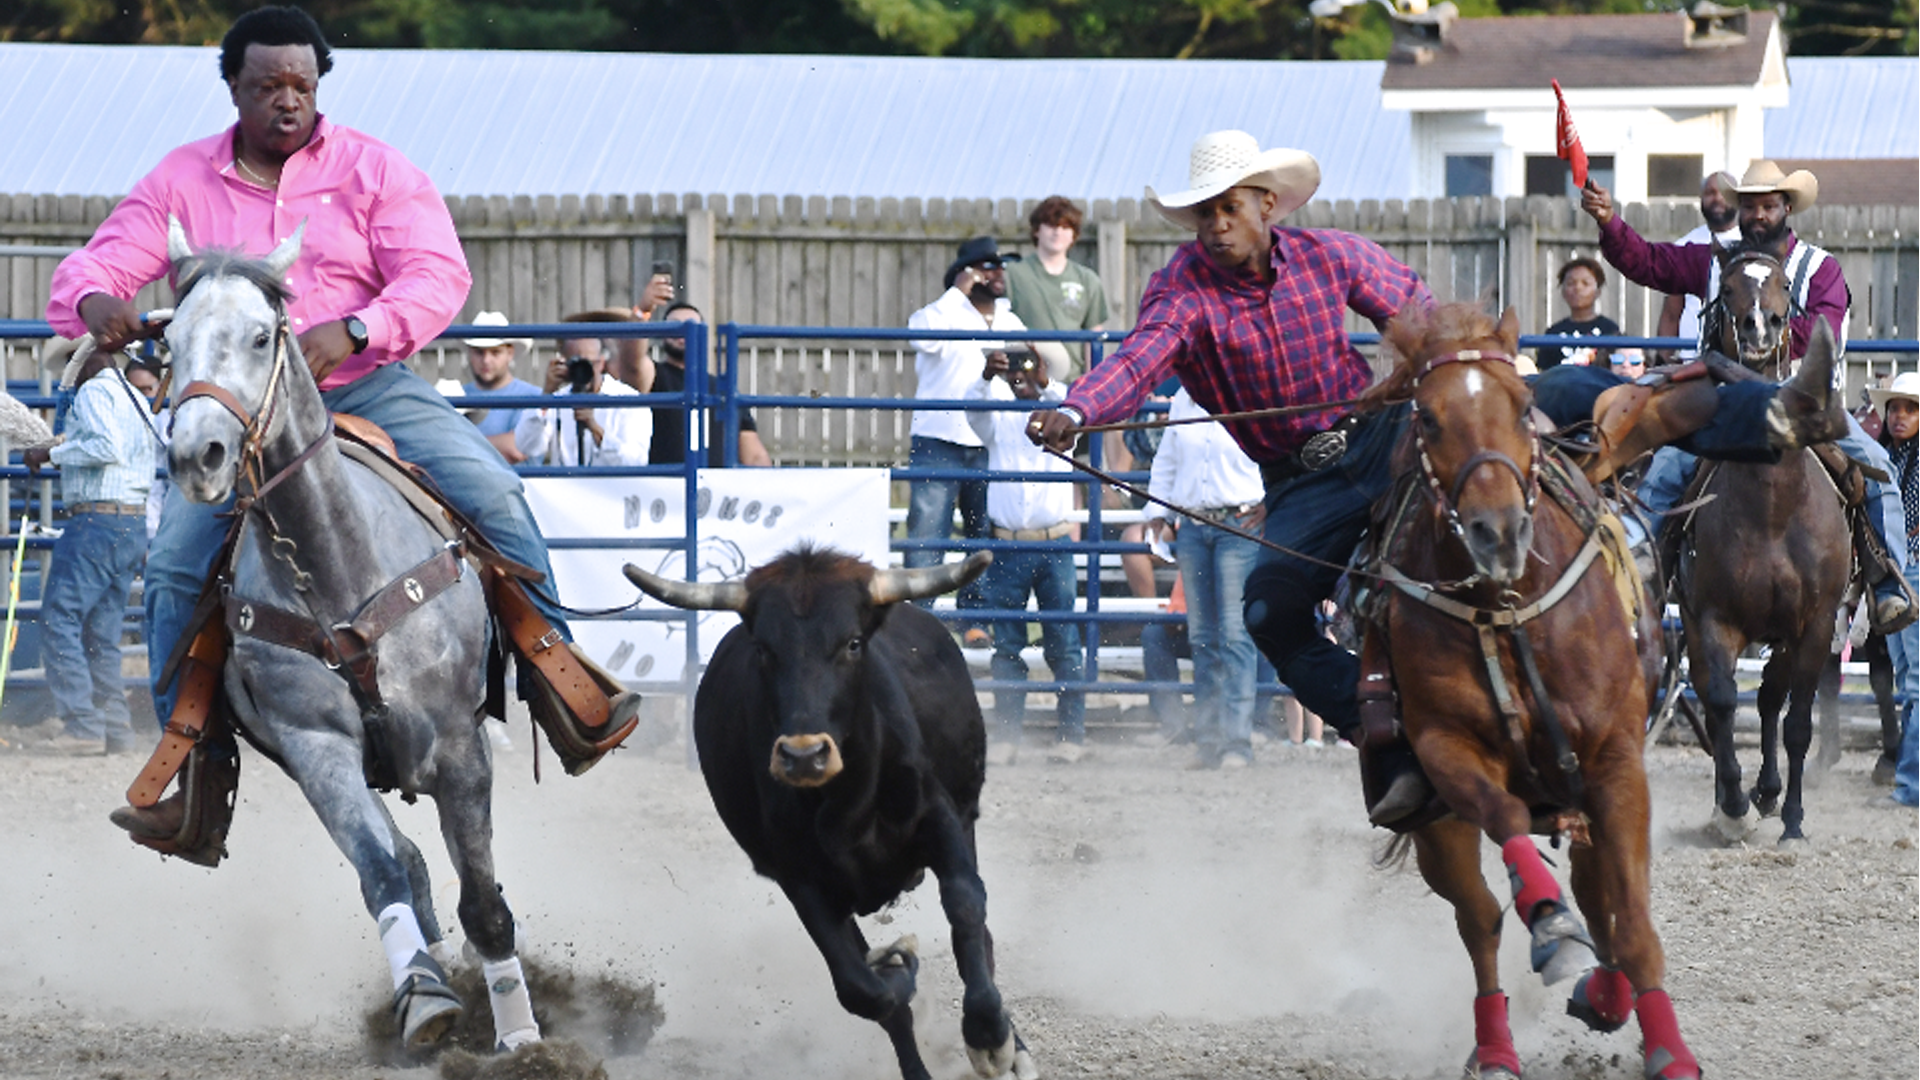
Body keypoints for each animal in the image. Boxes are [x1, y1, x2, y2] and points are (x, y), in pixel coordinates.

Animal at [162, 219, 545, 1053]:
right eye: (167, 341)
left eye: (262, 335)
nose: (196, 457)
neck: (334, 563)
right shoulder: (317, 747)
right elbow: (382, 870)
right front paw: (427, 1000)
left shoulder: (460, 744)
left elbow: (484, 900)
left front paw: (523, 1040)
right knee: (409, 863)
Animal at [1367, 303, 1697, 1076]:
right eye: (1427, 418)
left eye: (1523, 405)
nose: (1497, 532)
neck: (1507, 608)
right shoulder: (1448, 751)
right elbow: (1508, 824)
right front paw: (1549, 928)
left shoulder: (1615, 765)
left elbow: (1629, 922)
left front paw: (1668, 1049)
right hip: (1436, 825)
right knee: (1481, 920)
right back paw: (1496, 1043)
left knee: (1594, 892)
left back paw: (1604, 996)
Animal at [1681, 247, 1843, 845]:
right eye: (1728, 288)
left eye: (1782, 285)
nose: (1760, 324)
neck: (1773, 509)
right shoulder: (1713, 618)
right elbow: (1724, 702)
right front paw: (1731, 807)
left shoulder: (1815, 624)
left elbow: (1796, 723)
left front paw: (1792, 819)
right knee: (1717, 698)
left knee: (1773, 701)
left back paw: (1771, 793)